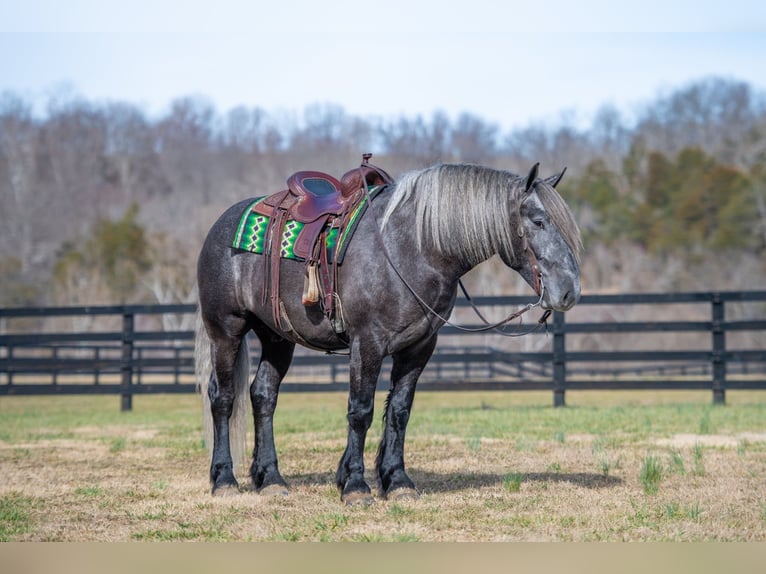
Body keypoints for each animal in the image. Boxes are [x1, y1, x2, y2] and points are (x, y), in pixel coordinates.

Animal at [195, 161, 583, 505]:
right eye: (539, 221)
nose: (569, 291)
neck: (415, 248)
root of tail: (220, 225)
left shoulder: (419, 347)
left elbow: (399, 411)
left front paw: (396, 481)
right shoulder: (367, 344)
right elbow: (361, 411)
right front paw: (355, 485)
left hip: (277, 337)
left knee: (263, 395)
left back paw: (271, 479)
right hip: (226, 331)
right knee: (223, 397)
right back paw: (224, 480)